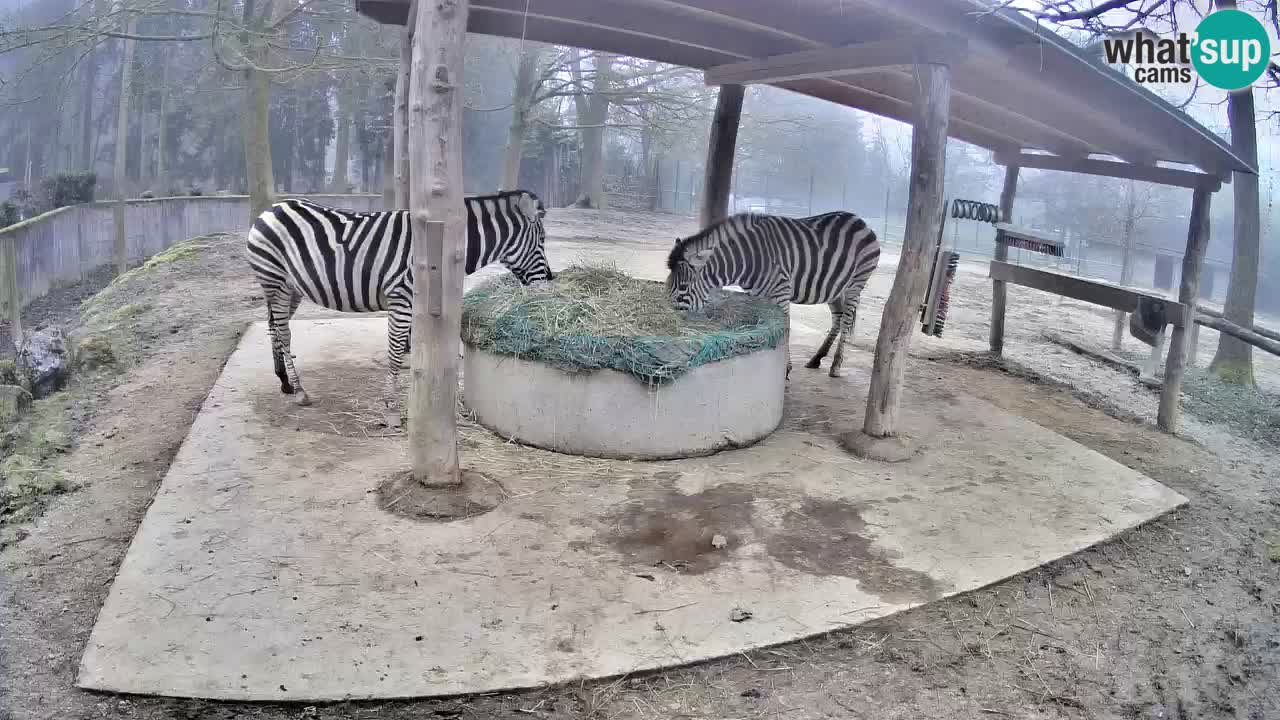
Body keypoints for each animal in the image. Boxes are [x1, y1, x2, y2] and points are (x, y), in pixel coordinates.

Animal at [245, 189, 552, 427]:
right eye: (542, 240)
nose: (550, 281)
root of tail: (269, 209)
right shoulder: (401, 297)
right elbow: (394, 352)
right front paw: (391, 409)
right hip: (276, 281)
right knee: (284, 333)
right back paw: (299, 391)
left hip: (290, 288)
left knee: (274, 327)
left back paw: (284, 382)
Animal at [665, 211, 879, 378]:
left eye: (683, 287)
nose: (673, 326)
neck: (749, 259)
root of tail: (859, 220)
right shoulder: (756, 293)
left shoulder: (781, 292)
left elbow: (786, 328)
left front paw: (786, 368)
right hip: (834, 288)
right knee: (838, 318)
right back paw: (817, 358)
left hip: (855, 285)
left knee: (846, 321)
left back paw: (835, 366)